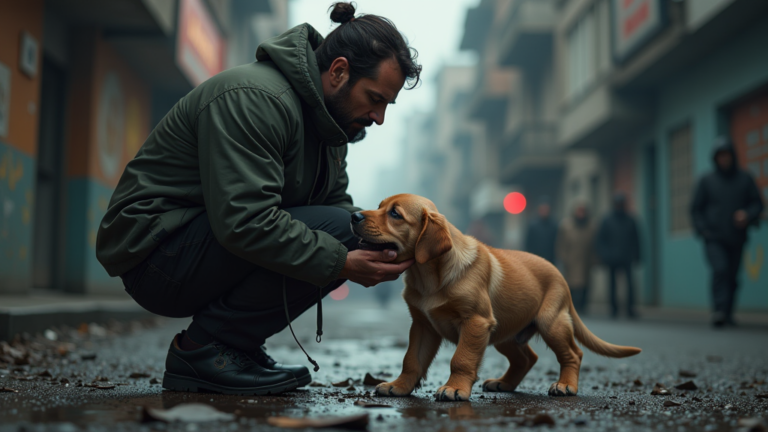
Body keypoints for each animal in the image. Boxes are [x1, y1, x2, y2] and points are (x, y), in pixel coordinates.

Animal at [354, 194, 640, 400]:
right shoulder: (423, 326)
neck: (428, 276)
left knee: (573, 353)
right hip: (505, 332)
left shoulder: (475, 322)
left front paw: (454, 389)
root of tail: (560, 275)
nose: (354, 215)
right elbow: (411, 359)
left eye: (395, 214)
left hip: (550, 322)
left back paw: (565, 385)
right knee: (527, 358)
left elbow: (461, 359)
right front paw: (399, 386)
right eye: (379, 207)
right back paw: (504, 383)